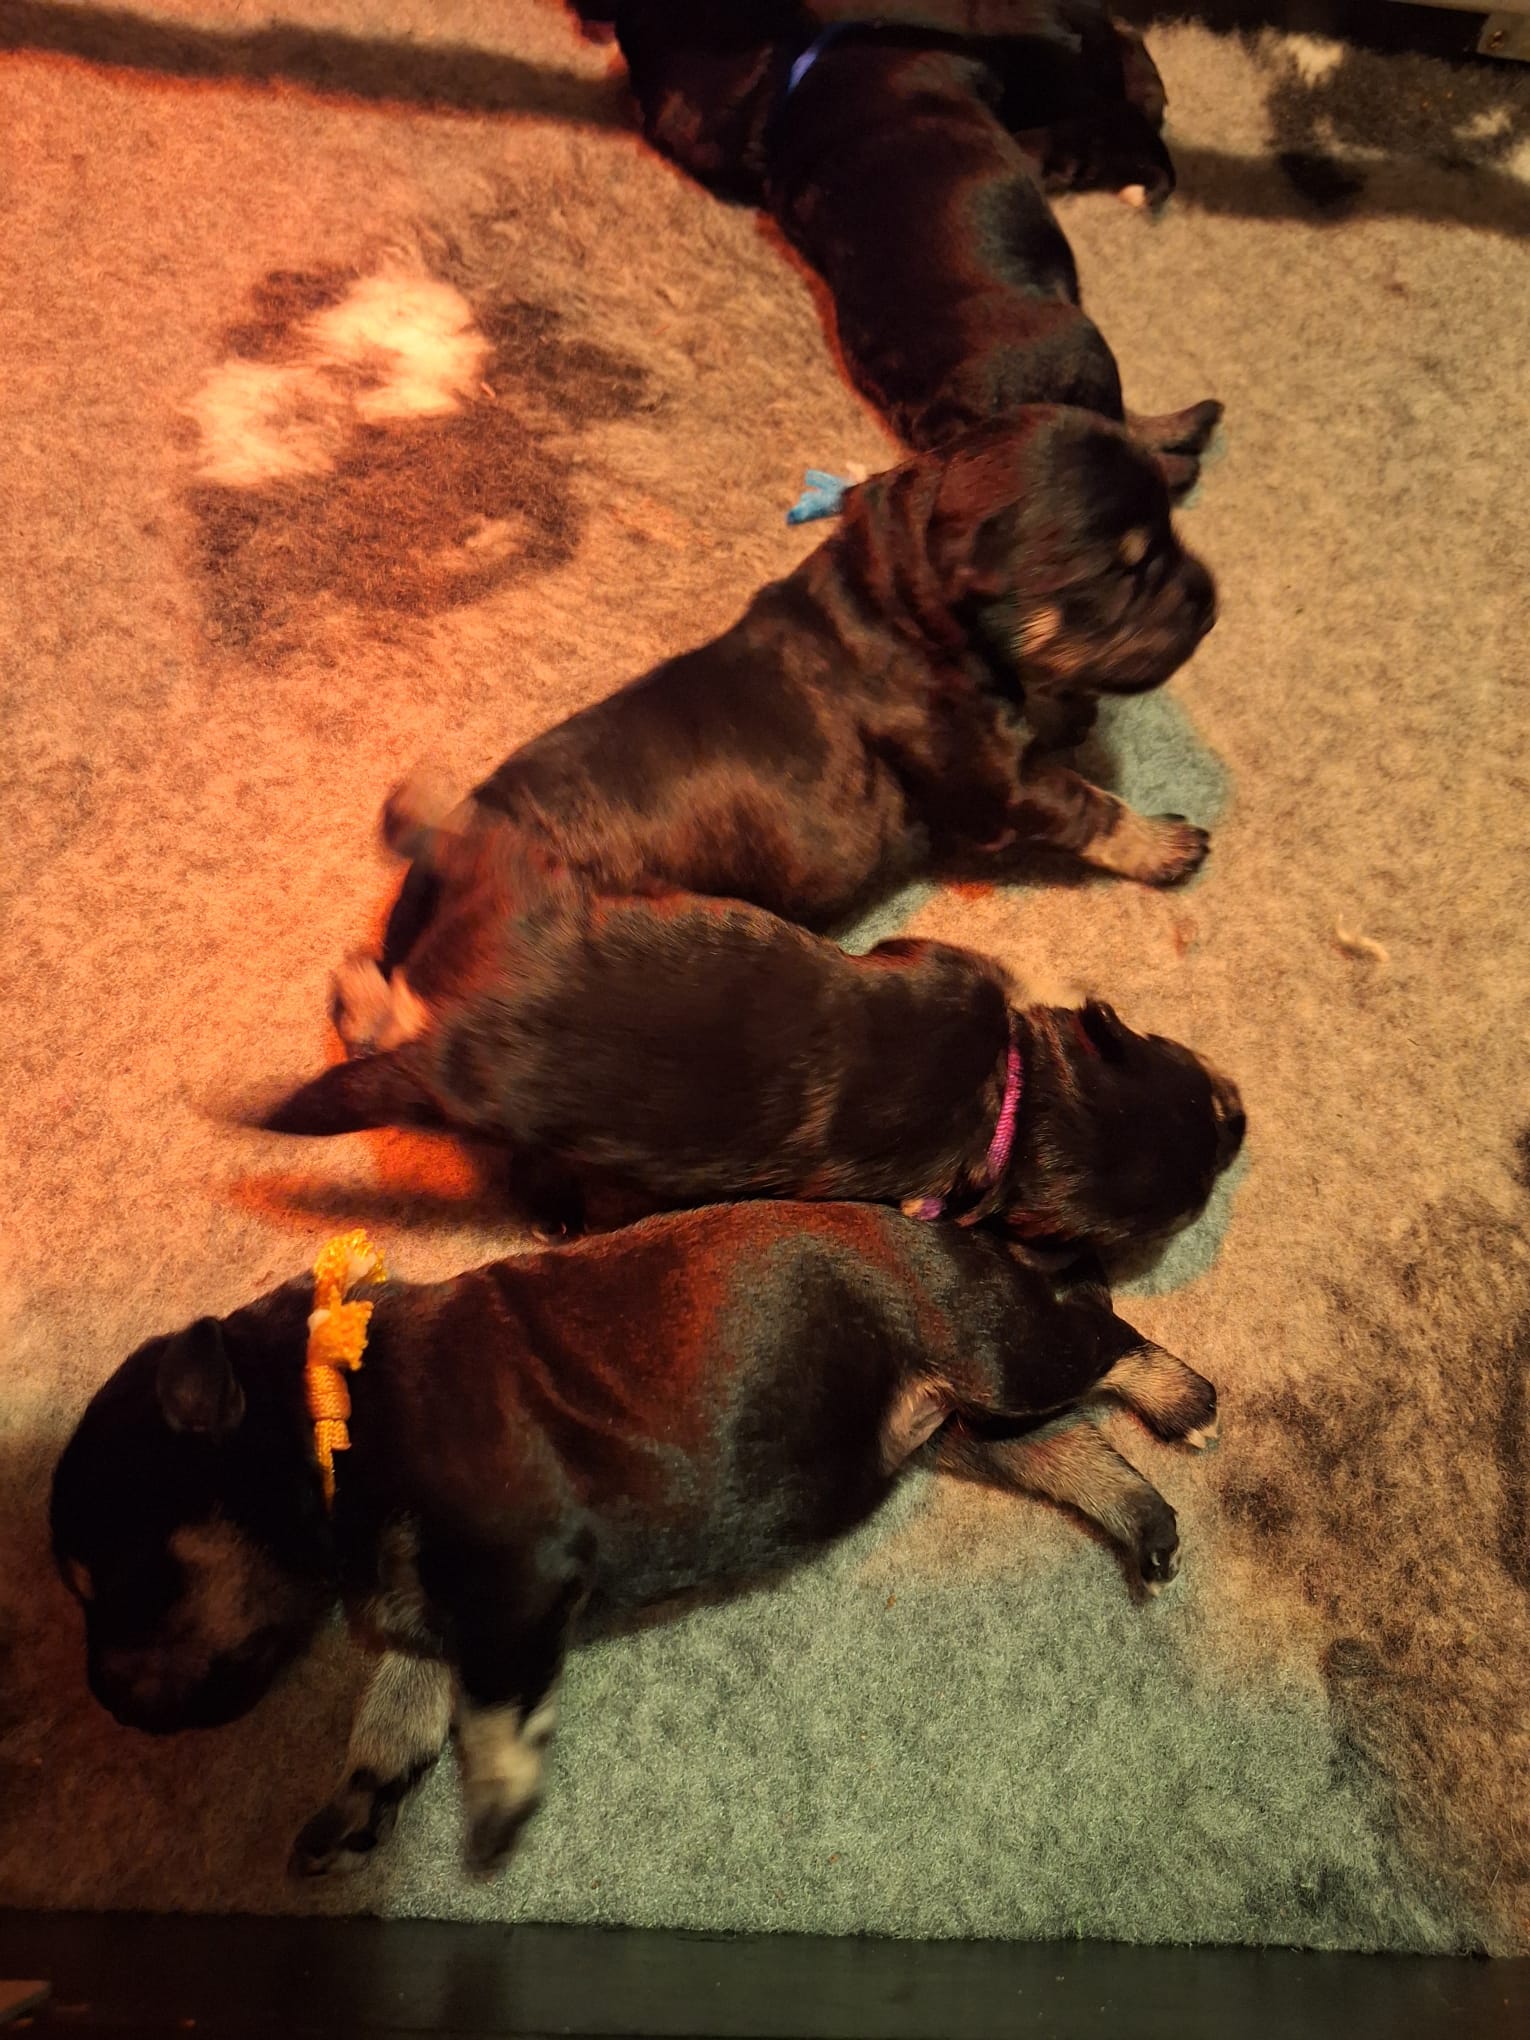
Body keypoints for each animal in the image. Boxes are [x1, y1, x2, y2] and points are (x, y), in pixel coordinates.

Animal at [51, 1200, 1220, 1875]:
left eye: (131, 1578)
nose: (105, 1706)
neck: (327, 1408)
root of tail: (966, 1232)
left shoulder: (512, 1585)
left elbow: (487, 1709)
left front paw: (496, 1805)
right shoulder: (431, 1612)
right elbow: (396, 1712)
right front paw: (354, 1804)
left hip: (992, 1351)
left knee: (1106, 1333)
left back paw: (1183, 1395)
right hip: (964, 1423)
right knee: (1069, 1446)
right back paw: (1145, 1518)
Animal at [364, 413, 1216, 1012]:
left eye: (1170, 534)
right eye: (1125, 573)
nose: (1212, 606)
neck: (902, 603)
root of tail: (440, 858)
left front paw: (1062, 705)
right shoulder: (995, 787)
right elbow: (1089, 805)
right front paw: (1161, 843)